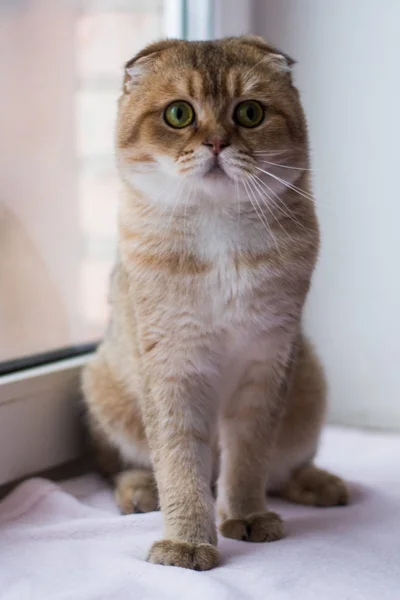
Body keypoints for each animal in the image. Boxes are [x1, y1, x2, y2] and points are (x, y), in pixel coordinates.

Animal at [81, 35, 346, 568]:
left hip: (309, 381)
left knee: (284, 468)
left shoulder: (267, 361)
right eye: (179, 114)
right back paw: (140, 490)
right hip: (103, 383)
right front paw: (186, 541)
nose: (218, 143)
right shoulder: (172, 366)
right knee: (120, 463)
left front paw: (246, 516)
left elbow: (248, 457)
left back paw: (319, 483)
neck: (219, 231)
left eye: (250, 113)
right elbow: (180, 463)